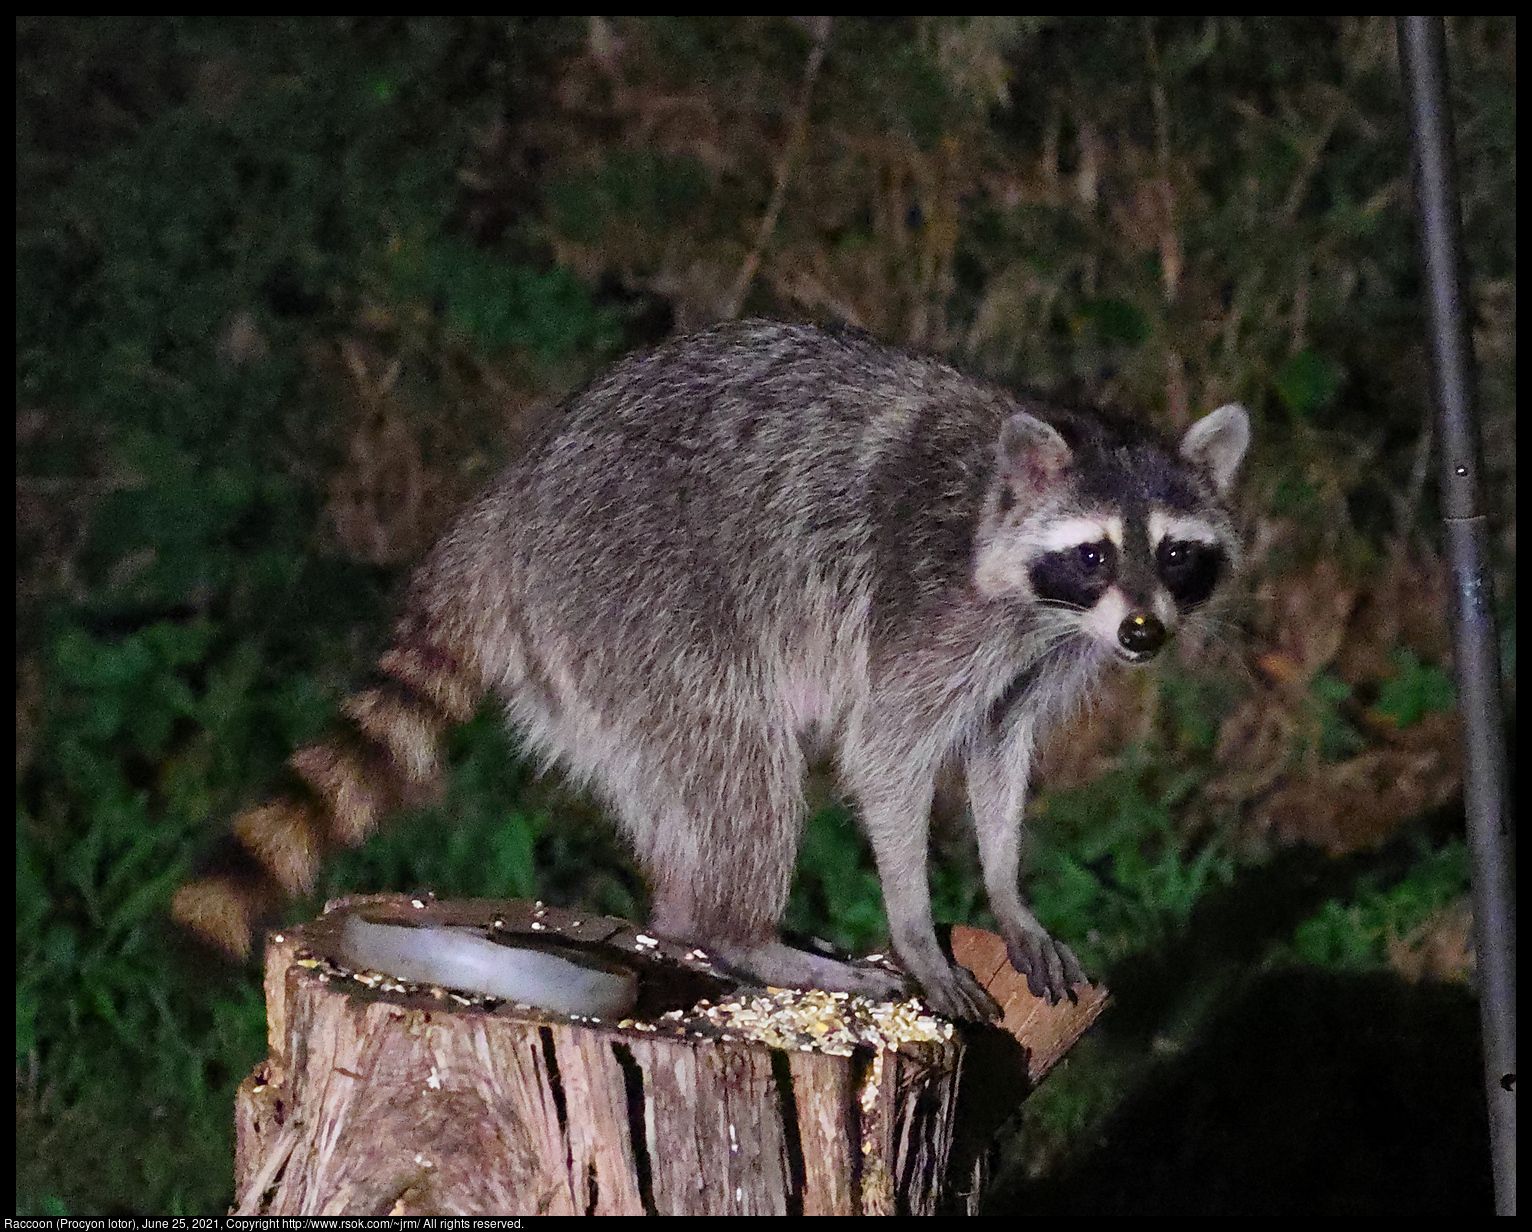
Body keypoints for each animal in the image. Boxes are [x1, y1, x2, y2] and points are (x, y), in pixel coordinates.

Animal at [173, 317, 1250, 1017]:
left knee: (678, 777)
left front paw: (1005, 888)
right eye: (1093, 554)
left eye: (1176, 554)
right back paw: (739, 930)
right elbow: (887, 756)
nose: (1145, 634)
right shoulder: (928, 606)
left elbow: (999, 751)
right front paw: (913, 920)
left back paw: (690, 920)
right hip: (633, 595)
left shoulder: (1040, 654)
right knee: (739, 758)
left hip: (585, 660)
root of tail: (499, 513)